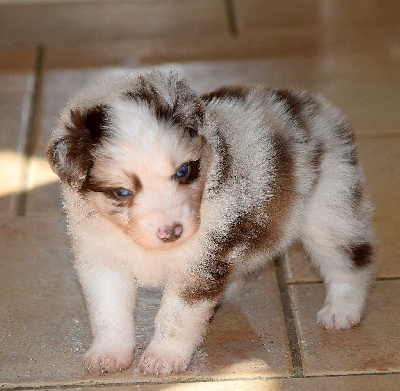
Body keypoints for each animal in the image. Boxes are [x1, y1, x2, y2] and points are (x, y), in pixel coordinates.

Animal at [47, 69, 376, 376]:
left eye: (183, 171)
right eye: (121, 192)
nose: (173, 232)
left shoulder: (196, 264)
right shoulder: (103, 261)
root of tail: (315, 106)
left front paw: (163, 357)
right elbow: (109, 311)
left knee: (351, 263)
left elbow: (176, 317)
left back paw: (341, 311)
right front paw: (109, 354)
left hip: (329, 211)